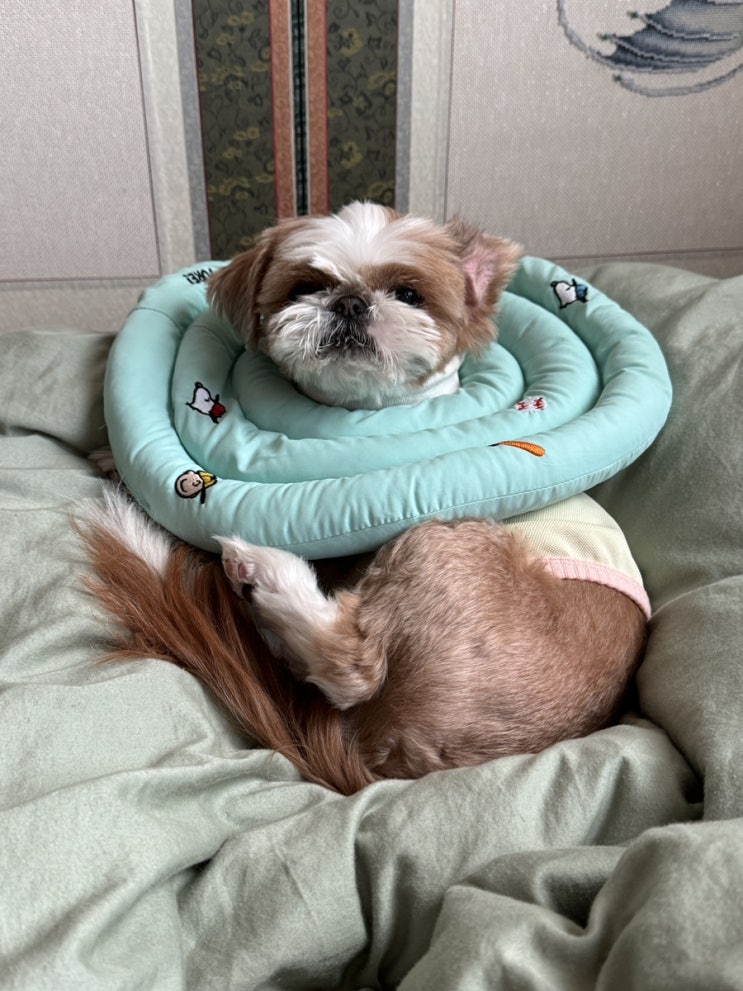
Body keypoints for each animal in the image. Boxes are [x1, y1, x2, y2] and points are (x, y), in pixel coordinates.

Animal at [81, 202, 648, 794]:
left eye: (409, 294)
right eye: (306, 286)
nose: (351, 301)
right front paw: (107, 456)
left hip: (441, 547)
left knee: (347, 670)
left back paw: (263, 572)